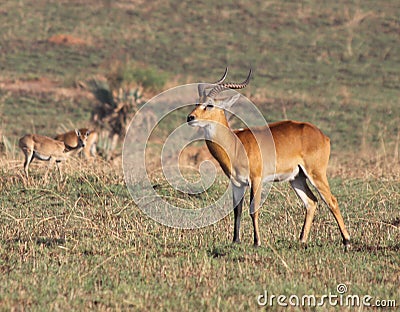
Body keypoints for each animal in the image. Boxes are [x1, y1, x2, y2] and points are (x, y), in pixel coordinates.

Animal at [187, 69, 350, 249]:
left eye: (209, 105)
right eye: (196, 103)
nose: (190, 118)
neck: (235, 144)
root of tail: (323, 135)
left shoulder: (256, 179)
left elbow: (254, 209)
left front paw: (257, 242)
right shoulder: (237, 183)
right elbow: (237, 210)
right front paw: (236, 240)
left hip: (316, 174)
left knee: (332, 201)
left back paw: (347, 241)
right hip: (297, 178)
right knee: (311, 202)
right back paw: (301, 240)